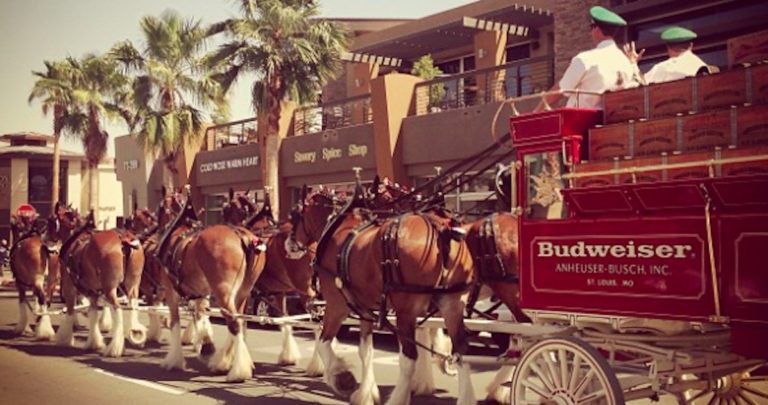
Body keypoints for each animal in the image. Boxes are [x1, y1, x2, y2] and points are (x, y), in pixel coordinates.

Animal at [156, 193, 268, 382]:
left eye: (160, 209)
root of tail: (242, 236)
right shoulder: (200, 292)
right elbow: (200, 315)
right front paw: (206, 345)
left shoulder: (171, 291)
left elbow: (175, 322)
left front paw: (174, 360)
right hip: (242, 293)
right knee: (238, 321)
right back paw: (224, 362)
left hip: (223, 292)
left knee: (234, 323)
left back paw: (238, 370)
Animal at [292, 187, 476, 404]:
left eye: (295, 215)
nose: (289, 244)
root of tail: (441, 229)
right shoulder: (364, 309)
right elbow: (366, 351)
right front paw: (365, 393)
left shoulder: (336, 304)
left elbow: (323, 342)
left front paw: (341, 378)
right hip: (453, 304)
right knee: (461, 353)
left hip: (406, 310)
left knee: (409, 359)